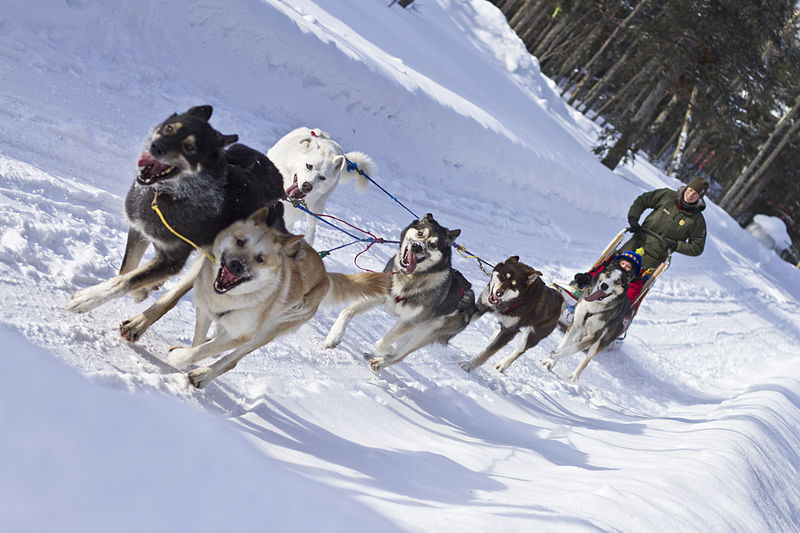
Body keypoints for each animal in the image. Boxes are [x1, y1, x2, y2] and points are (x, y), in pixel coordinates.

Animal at [66, 105, 284, 336]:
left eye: (189, 147)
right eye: (170, 128)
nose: (156, 147)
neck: (170, 194)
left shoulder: (173, 260)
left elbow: (126, 280)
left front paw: (87, 298)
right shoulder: (139, 231)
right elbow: (126, 270)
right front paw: (140, 289)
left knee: (173, 297)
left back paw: (138, 324)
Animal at [168, 207, 390, 386]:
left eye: (260, 259)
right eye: (240, 241)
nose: (237, 265)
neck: (230, 298)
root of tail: (324, 276)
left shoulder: (242, 335)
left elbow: (200, 351)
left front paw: (179, 359)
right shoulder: (205, 311)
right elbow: (198, 342)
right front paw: (184, 360)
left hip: (266, 332)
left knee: (231, 361)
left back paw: (203, 376)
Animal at [324, 214, 478, 372]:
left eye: (433, 245)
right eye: (420, 233)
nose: (417, 246)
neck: (410, 277)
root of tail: (472, 303)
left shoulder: (409, 321)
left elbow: (381, 344)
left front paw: (387, 350)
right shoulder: (380, 295)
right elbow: (347, 311)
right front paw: (334, 336)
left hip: (424, 332)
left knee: (400, 356)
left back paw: (381, 361)